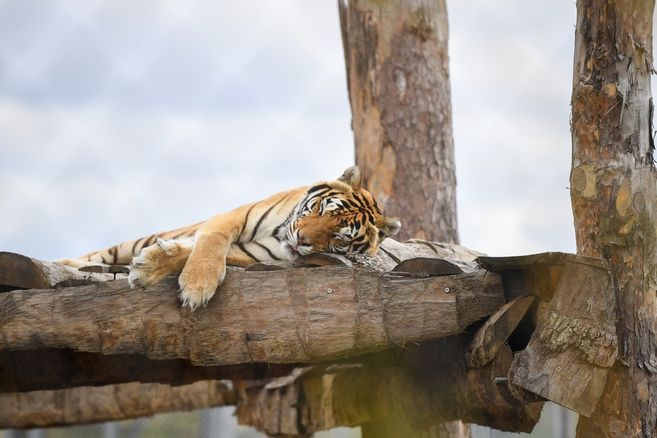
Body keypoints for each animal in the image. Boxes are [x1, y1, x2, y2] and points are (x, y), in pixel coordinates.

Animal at [59, 165, 400, 312]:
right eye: (318, 209)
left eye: (338, 239)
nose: (301, 238)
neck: (280, 234)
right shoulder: (230, 218)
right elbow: (210, 243)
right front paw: (197, 286)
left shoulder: (256, 255)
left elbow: (190, 251)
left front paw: (151, 266)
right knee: (94, 257)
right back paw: (61, 265)